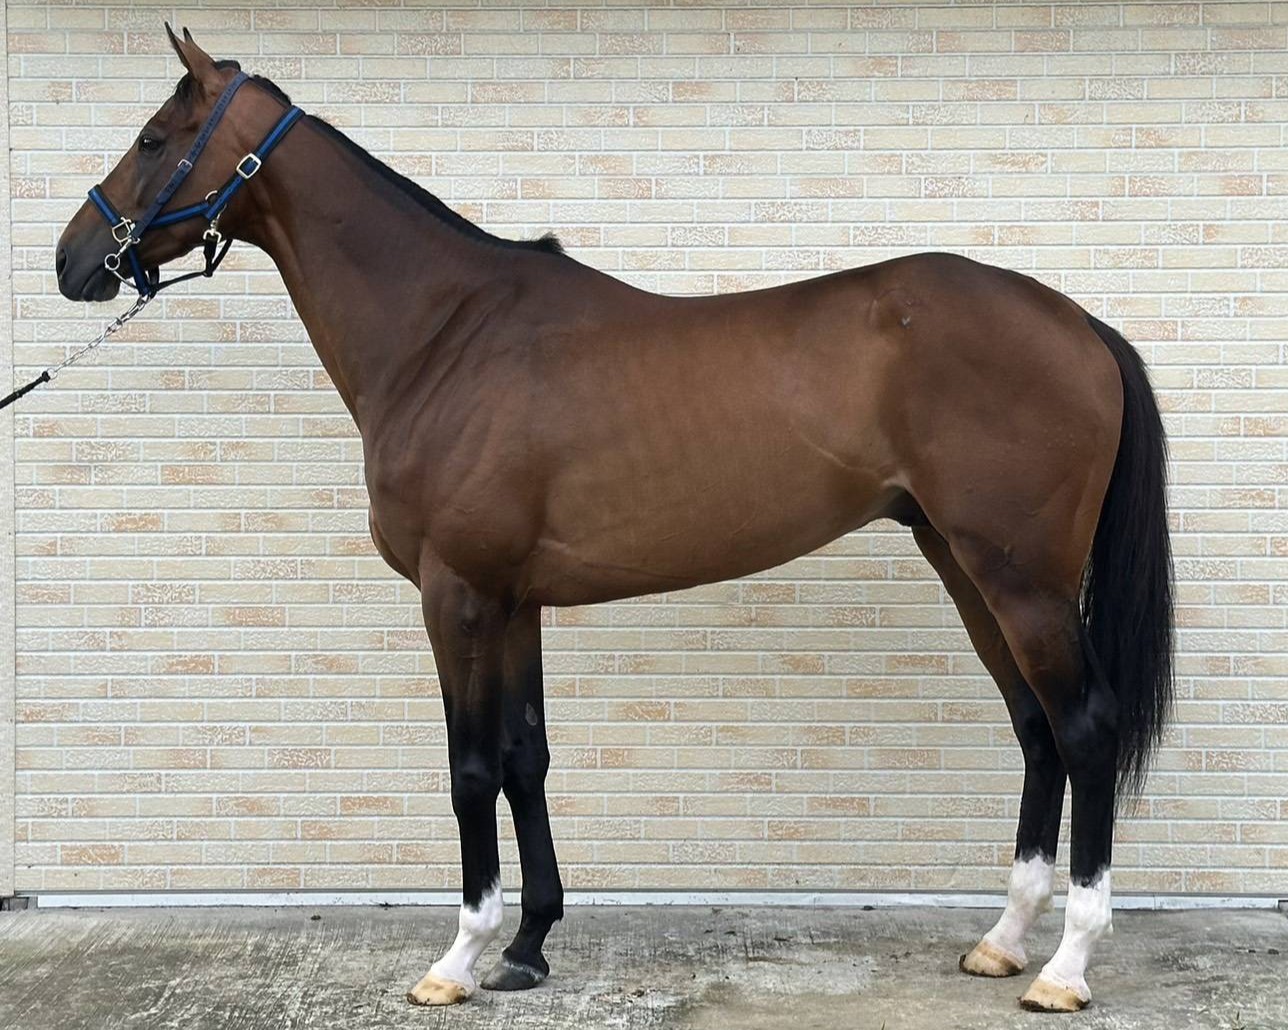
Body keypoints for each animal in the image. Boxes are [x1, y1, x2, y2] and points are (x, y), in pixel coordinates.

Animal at [54, 28, 1173, 1014]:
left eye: (153, 138)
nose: (73, 259)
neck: (445, 335)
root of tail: (1075, 322)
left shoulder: (456, 595)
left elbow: (468, 770)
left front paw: (457, 959)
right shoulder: (514, 602)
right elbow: (525, 758)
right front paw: (529, 945)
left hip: (1019, 576)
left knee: (1083, 726)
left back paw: (1064, 968)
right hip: (963, 562)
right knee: (1033, 728)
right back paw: (1002, 940)